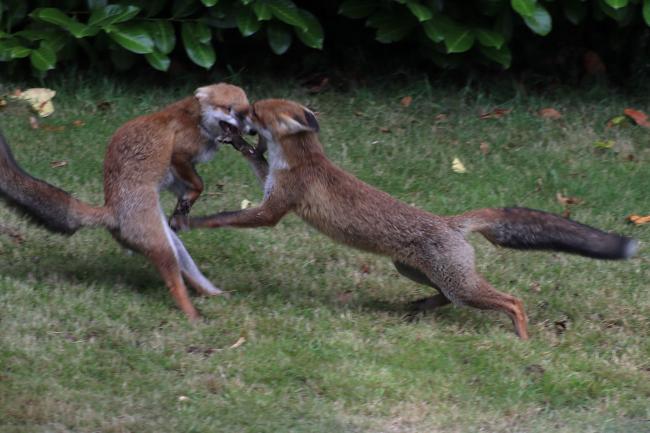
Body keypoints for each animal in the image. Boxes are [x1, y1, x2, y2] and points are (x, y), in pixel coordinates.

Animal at [0, 83, 260, 320]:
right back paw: (193, 316)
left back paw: (215, 295)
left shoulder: (174, 172)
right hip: (162, 245)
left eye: (247, 112)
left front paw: (185, 204)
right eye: (230, 109)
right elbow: (199, 182)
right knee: (175, 286)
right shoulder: (179, 154)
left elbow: (194, 187)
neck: (197, 120)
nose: (252, 131)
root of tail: (111, 210)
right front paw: (189, 199)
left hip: (172, 245)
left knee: (190, 275)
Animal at [175, 98, 640, 339]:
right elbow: (255, 163)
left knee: (512, 300)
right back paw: (419, 308)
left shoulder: (274, 209)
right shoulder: (272, 185)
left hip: (457, 282)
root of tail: (451, 222)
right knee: (444, 297)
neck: (301, 160)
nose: (238, 116)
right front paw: (239, 146)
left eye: (255, 110)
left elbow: (224, 217)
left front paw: (188, 223)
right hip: (414, 270)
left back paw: (521, 338)